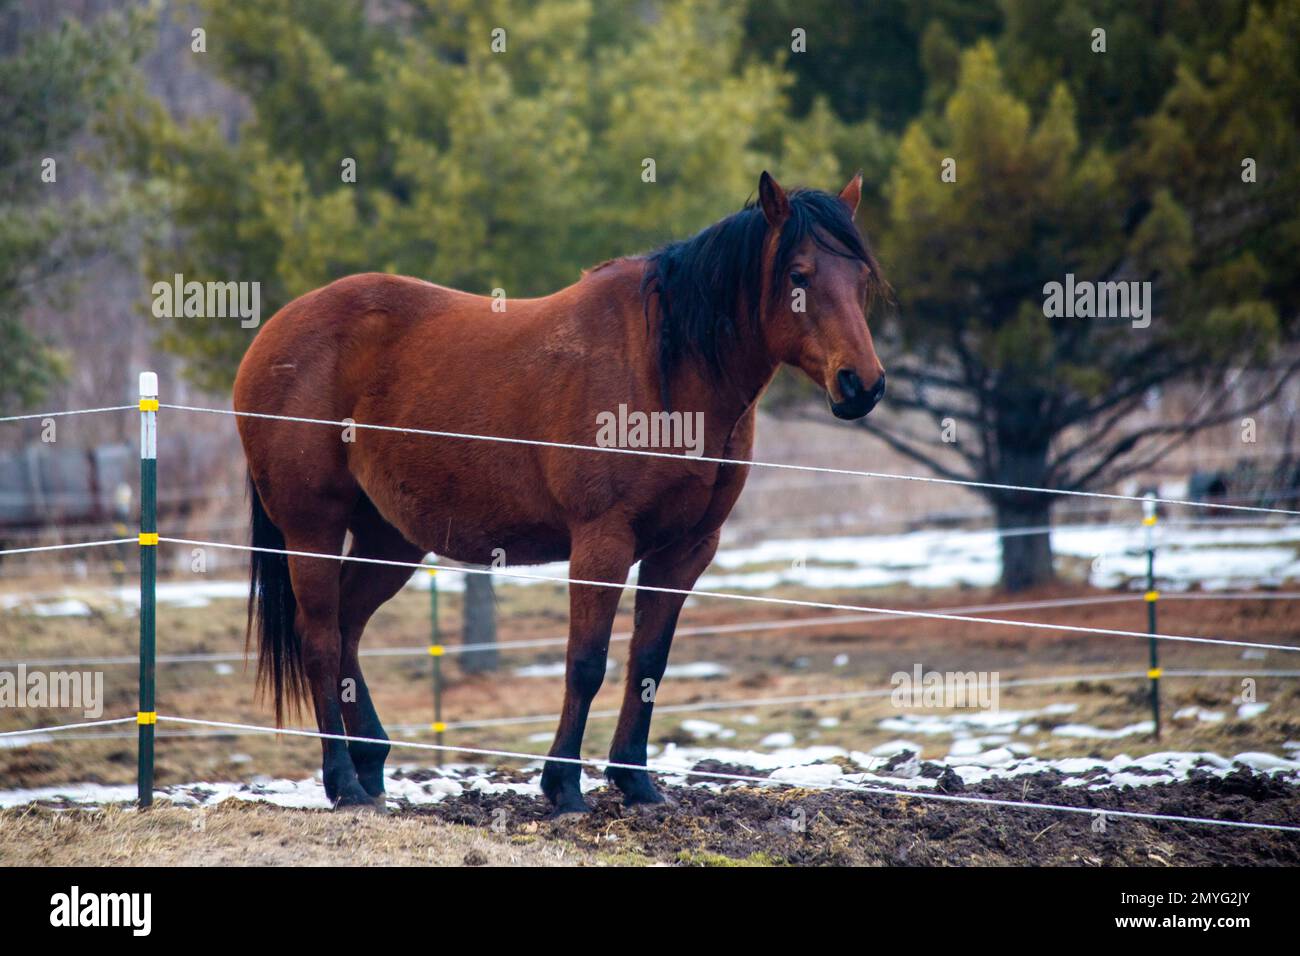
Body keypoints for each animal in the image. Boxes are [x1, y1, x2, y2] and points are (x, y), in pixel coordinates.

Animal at [236, 174, 883, 816]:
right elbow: (586, 663)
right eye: (799, 275)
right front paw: (564, 787)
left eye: (861, 279)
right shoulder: (603, 542)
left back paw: (371, 767)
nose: (862, 384)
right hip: (312, 528)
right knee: (319, 638)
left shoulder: (685, 550)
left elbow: (649, 662)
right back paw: (343, 782)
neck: (663, 370)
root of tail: (277, 330)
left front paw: (636, 784)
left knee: (347, 626)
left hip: (389, 537)